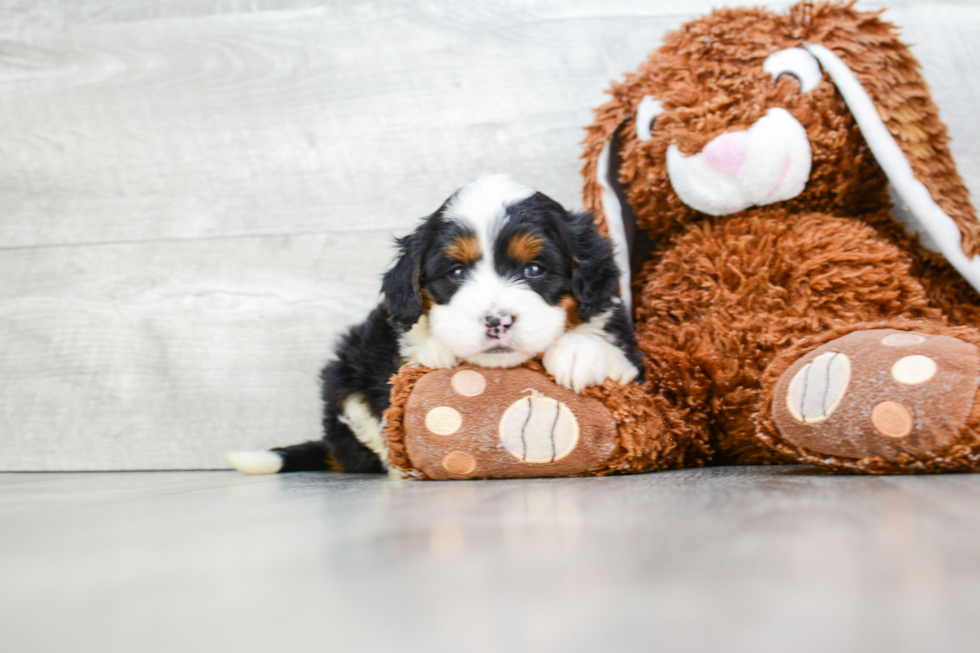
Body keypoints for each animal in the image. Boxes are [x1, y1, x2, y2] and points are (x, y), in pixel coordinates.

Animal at [230, 174, 644, 474]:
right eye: (456, 272)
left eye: (534, 269)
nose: (496, 321)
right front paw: (438, 350)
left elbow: (602, 342)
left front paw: (575, 354)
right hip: (344, 372)